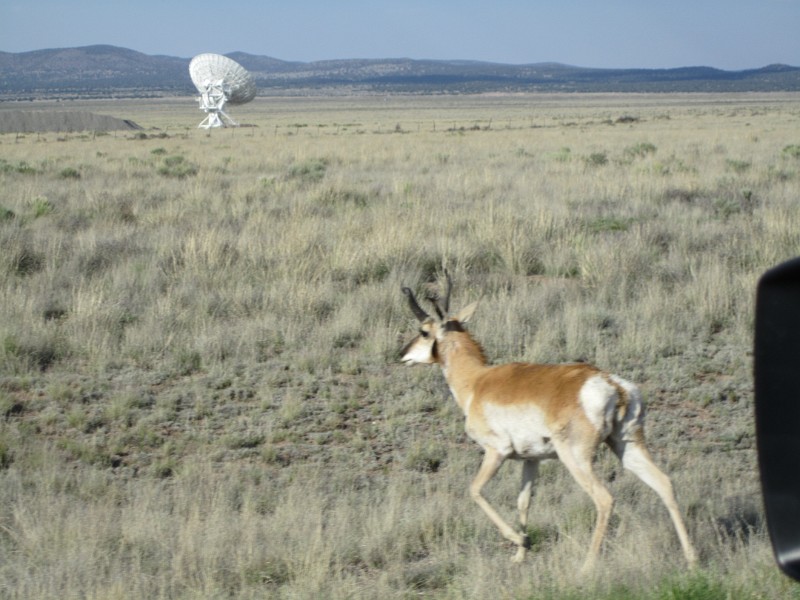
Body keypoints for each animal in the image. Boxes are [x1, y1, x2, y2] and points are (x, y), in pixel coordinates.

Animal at [398, 274, 692, 568]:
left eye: (424, 331)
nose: (402, 354)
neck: (478, 381)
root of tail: (612, 384)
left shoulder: (496, 451)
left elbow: (475, 490)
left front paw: (518, 540)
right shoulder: (531, 460)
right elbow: (523, 502)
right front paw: (520, 555)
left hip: (576, 458)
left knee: (605, 499)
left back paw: (586, 568)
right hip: (626, 445)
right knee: (664, 483)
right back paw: (692, 559)